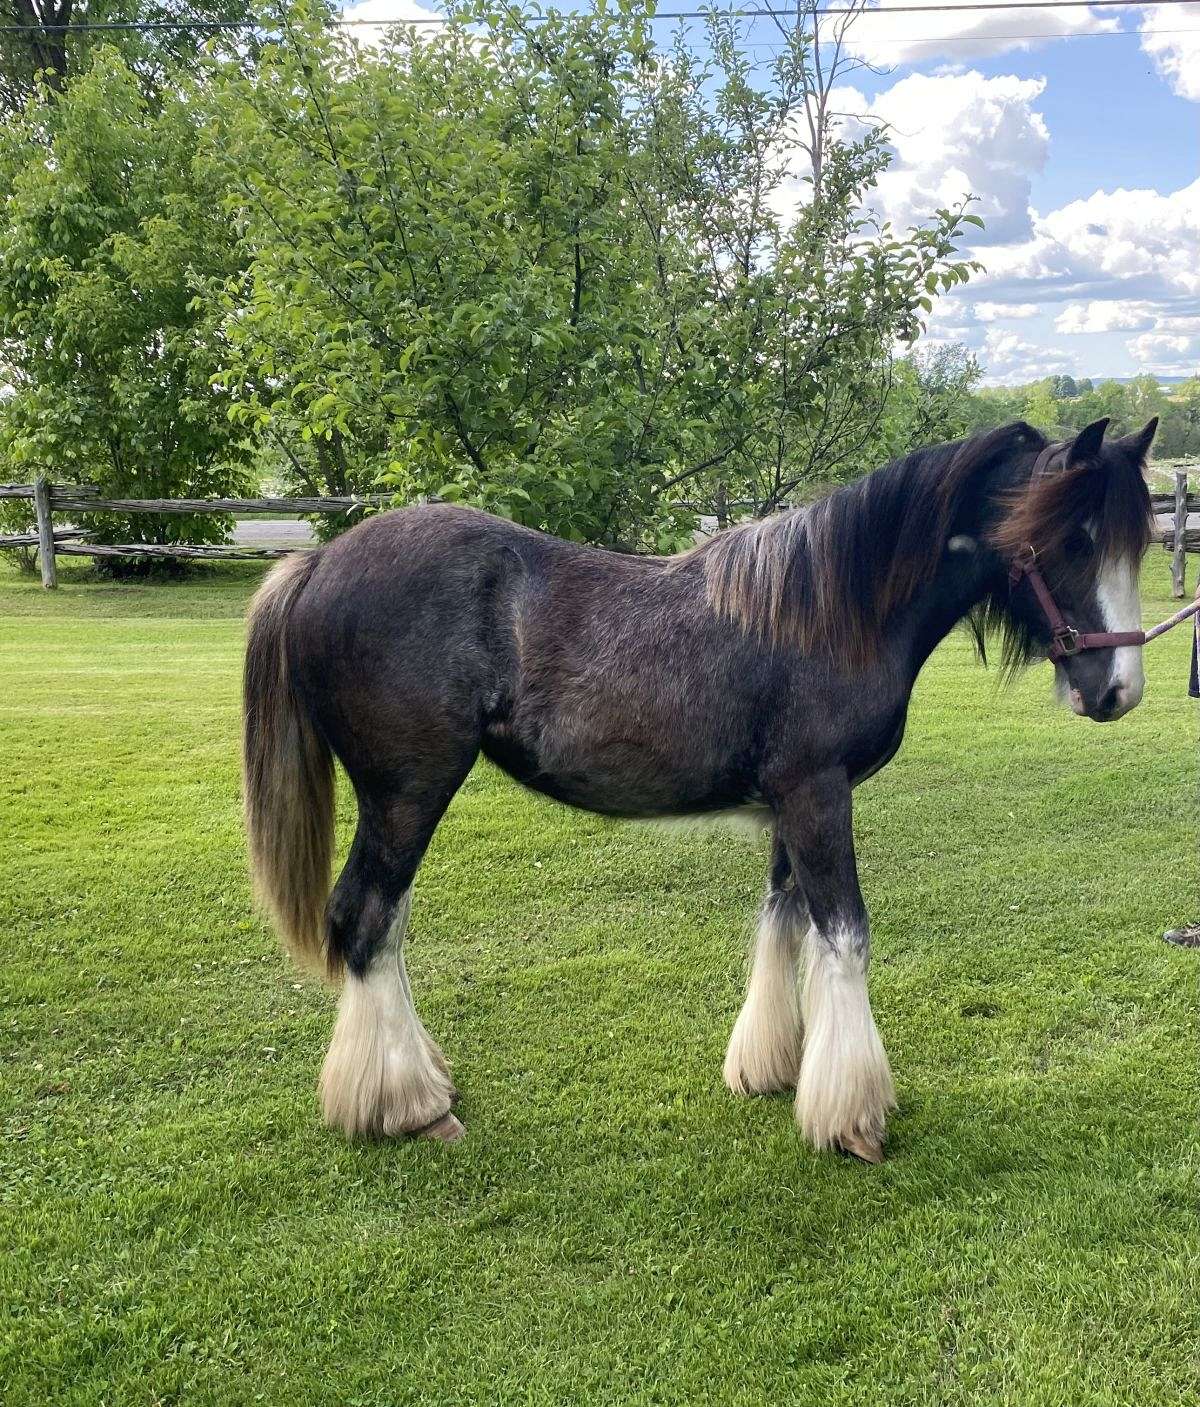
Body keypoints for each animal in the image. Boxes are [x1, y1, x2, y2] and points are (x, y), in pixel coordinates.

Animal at [240, 410, 1153, 1159]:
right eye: (1074, 539)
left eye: (1135, 543)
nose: (1118, 690)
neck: (836, 609)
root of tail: (316, 562)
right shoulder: (820, 795)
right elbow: (845, 935)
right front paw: (853, 1119)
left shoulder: (794, 803)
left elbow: (785, 923)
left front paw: (774, 1069)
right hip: (406, 793)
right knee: (366, 918)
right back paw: (409, 1104)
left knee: (385, 926)